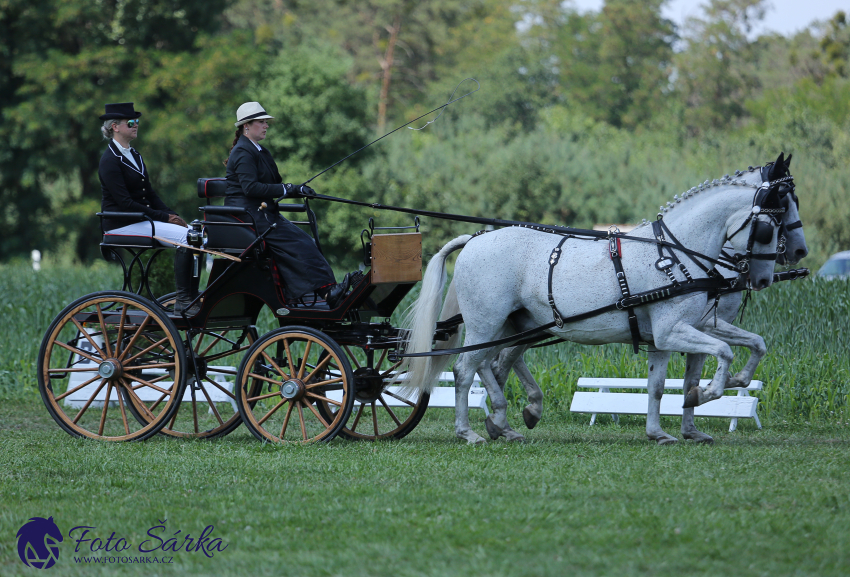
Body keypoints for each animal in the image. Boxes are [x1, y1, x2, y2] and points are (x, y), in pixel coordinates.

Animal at [402, 155, 788, 444]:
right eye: (768, 228)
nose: (764, 278)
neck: (675, 255)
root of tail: (474, 239)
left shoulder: (677, 333)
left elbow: (666, 383)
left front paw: (669, 427)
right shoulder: (673, 331)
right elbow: (719, 355)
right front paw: (706, 395)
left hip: (512, 324)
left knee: (493, 363)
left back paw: (508, 420)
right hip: (487, 323)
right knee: (466, 369)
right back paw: (469, 432)